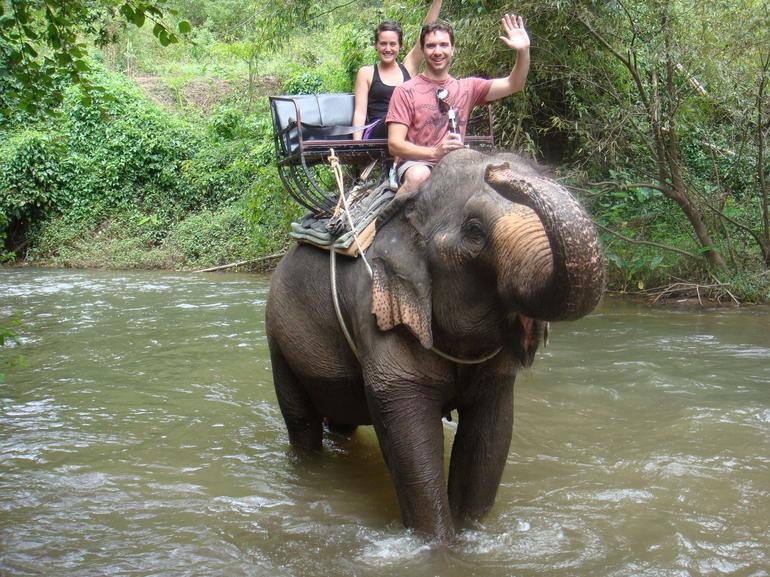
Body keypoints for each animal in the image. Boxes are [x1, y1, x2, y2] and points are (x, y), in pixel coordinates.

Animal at [268, 147, 604, 540]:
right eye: (474, 231)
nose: (500, 167)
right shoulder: (376, 312)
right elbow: (409, 437)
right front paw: (438, 543)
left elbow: (490, 435)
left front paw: (471, 532)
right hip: (279, 336)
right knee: (302, 425)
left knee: (342, 421)